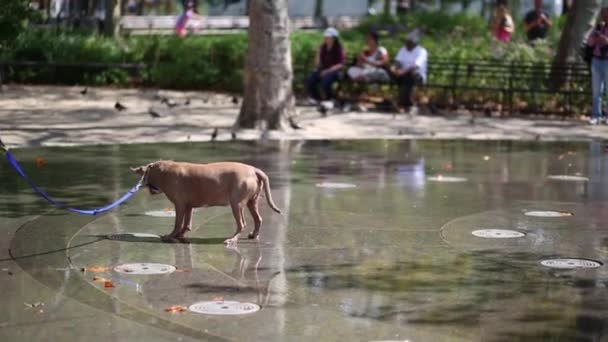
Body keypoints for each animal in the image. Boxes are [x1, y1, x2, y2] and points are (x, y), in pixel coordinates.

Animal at [132, 160, 282, 243]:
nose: (150, 191)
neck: (164, 171)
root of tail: (253, 170)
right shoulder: (188, 206)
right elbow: (186, 224)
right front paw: (181, 235)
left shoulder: (179, 205)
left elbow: (177, 224)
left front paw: (170, 236)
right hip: (252, 202)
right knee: (258, 219)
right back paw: (254, 235)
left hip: (236, 204)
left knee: (242, 224)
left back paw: (232, 239)